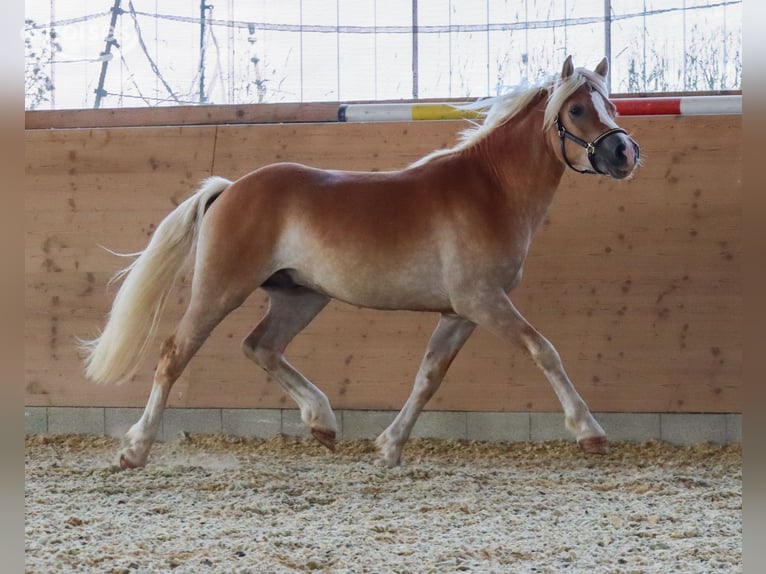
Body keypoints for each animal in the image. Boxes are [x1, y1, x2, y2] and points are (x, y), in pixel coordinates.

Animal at [81, 56, 640, 469]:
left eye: (610, 104)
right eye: (576, 111)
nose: (624, 153)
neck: (490, 190)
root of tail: (230, 188)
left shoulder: (459, 312)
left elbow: (428, 377)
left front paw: (389, 447)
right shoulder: (482, 301)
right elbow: (544, 351)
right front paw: (590, 433)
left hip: (301, 297)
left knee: (261, 346)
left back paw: (323, 422)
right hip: (221, 289)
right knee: (174, 354)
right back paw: (134, 450)